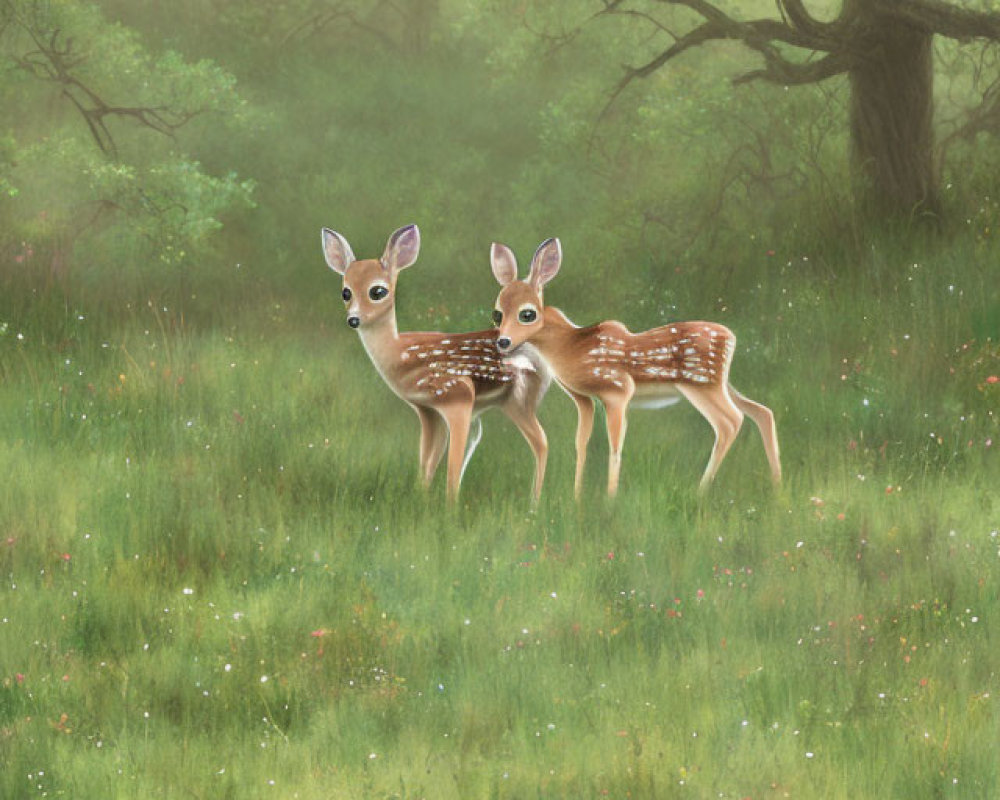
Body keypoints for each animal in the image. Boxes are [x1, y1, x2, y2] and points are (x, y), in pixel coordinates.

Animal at [322, 222, 552, 504]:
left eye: (378, 291)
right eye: (345, 292)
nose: (353, 319)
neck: (400, 354)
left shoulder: (457, 394)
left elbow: (450, 463)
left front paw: (449, 507)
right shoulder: (427, 409)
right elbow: (428, 461)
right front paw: (421, 499)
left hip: (519, 400)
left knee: (541, 442)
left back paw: (534, 504)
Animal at [490, 238, 780, 500]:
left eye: (527, 314)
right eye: (497, 313)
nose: (503, 342)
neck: (570, 346)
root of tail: (731, 337)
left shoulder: (617, 388)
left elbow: (615, 446)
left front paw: (610, 500)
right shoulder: (583, 398)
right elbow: (581, 443)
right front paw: (577, 498)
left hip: (700, 383)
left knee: (730, 421)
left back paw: (701, 491)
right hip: (721, 382)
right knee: (762, 412)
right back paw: (777, 486)